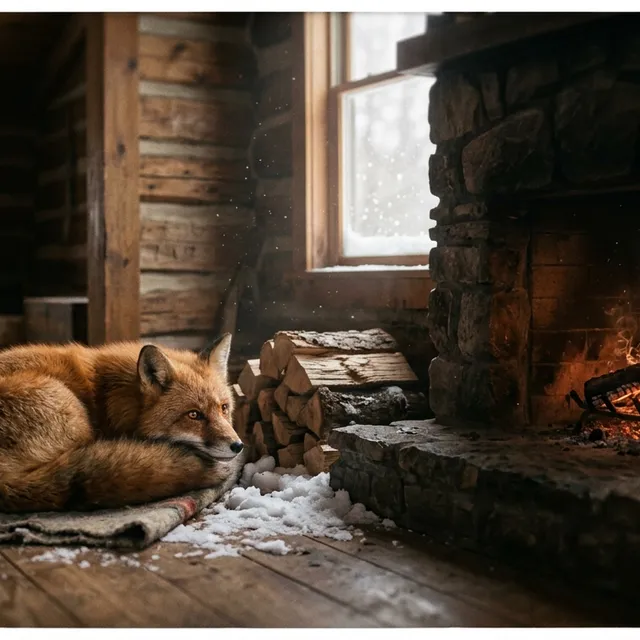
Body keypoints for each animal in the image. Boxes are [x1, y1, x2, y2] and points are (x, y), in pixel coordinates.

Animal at [0, 333, 246, 513]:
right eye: (194, 415)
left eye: (224, 408)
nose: (238, 446)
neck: (109, 397)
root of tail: (5, 481)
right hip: (70, 408)